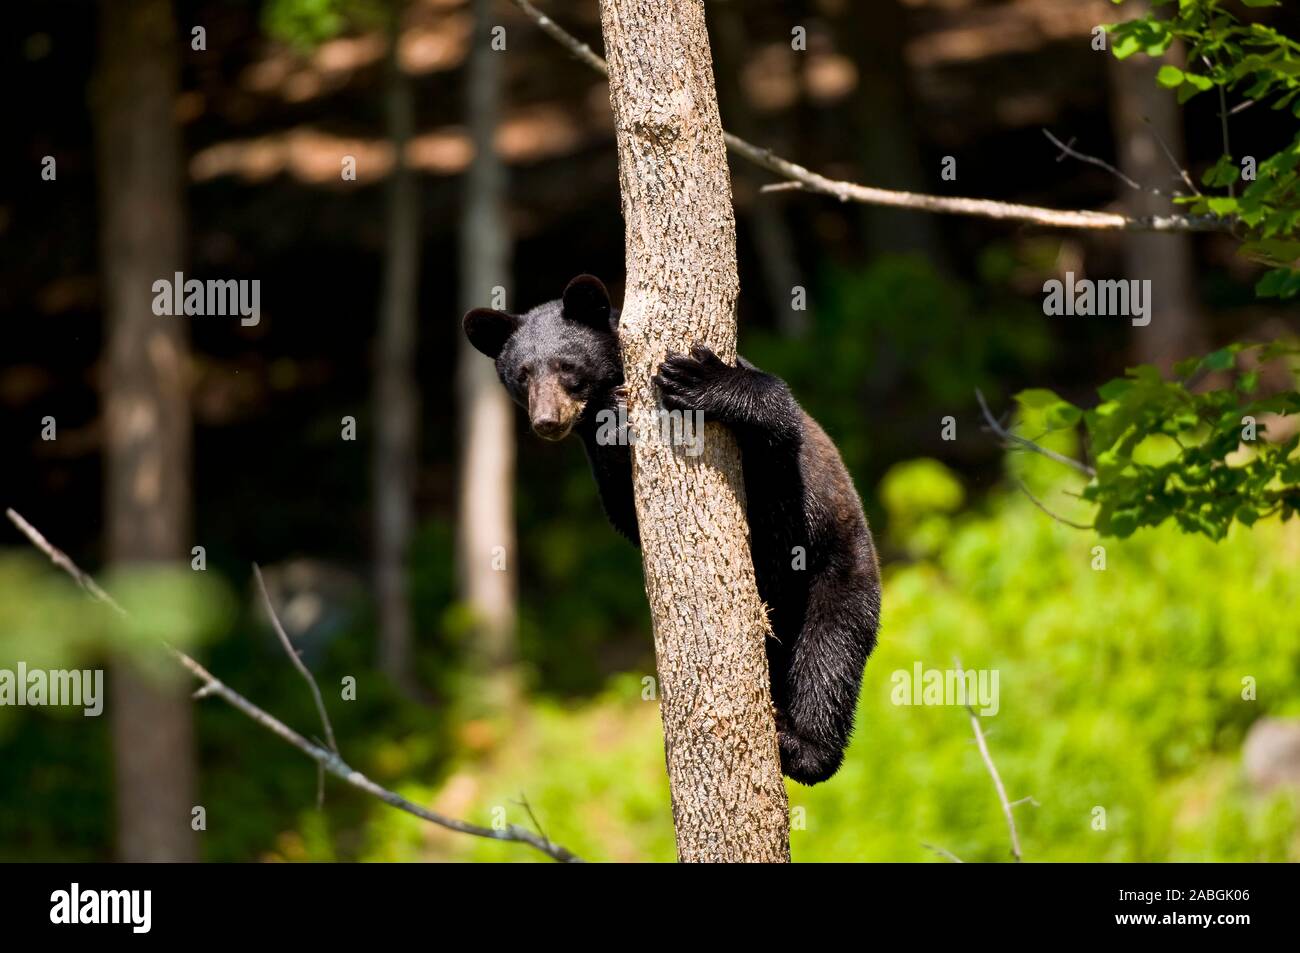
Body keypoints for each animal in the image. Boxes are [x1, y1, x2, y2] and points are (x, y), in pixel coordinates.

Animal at [462, 275, 878, 780]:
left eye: (567, 367)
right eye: (522, 375)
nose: (547, 420)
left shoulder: (792, 474)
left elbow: (777, 433)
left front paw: (699, 380)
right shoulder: (600, 463)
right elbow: (622, 507)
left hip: (838, 576)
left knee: (829, 657)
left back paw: (803, 747)